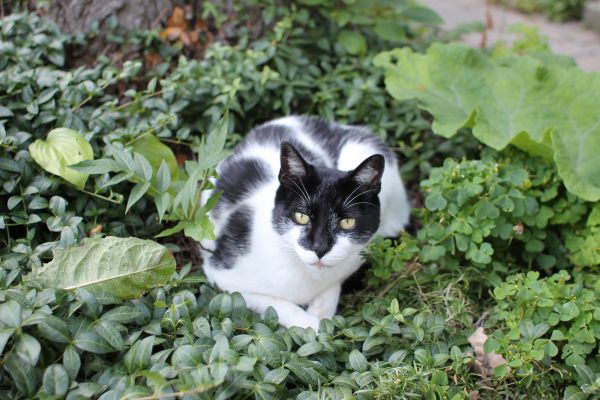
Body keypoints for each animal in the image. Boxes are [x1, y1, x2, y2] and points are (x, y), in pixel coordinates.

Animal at [199, 115, 410, 328]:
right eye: (302, 217)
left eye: (347, 222)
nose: (320, 249)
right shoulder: (223, 278)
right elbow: (275, 303)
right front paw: (315, 327)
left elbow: (332, 286)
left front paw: (322, 315)